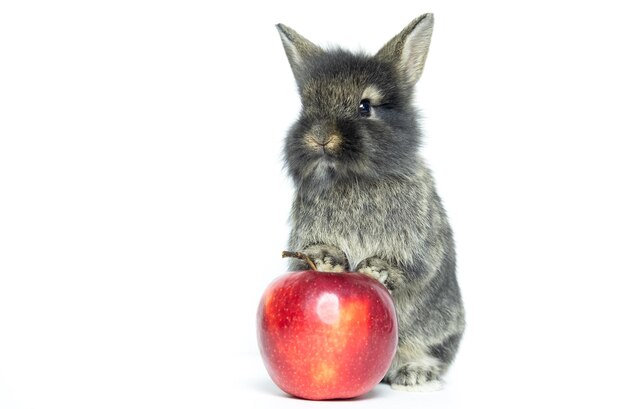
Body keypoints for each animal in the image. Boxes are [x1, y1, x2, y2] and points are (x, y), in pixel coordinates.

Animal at [274, 11, 464, 388]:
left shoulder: (420, 248)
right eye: (307, 107)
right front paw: (327, 260)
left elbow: (412, 268)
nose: (320, 137)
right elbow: (311, 254)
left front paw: (375, 270)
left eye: (365, 107)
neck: (352, 179)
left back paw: (414, 374)